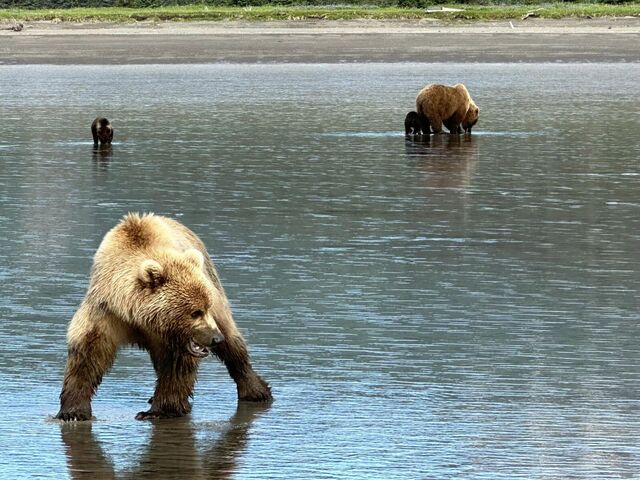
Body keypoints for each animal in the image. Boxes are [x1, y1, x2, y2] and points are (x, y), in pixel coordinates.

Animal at [55, 212, 272, 422]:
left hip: (215, 289)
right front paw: (73, 412)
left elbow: (176, 365)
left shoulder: (175, 336)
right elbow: (87, 356)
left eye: (205, 308)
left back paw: (256, 390)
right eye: (195, 312)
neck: (136, 315)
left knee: (233, 344)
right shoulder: (106, 314)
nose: (215, 338)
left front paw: (158, 411)